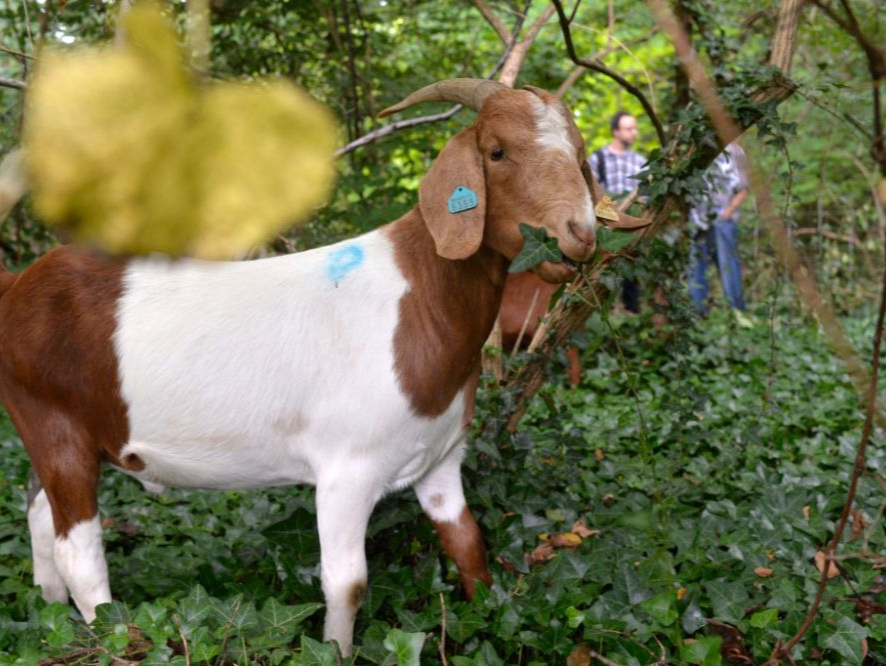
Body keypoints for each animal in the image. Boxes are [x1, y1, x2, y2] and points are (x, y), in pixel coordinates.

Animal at [0, 79, 600, 652]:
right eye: (497, 151)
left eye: (578, 153)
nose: (579, 233)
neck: (419, 301)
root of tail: (18, 284)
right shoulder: (346, 470)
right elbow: (346, 582)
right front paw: (335, 647)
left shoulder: (441, 459)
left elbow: (469, 545)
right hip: (54, 425)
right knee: (78, 550)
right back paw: (116, 638)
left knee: (38, 514)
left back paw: (53, 618)